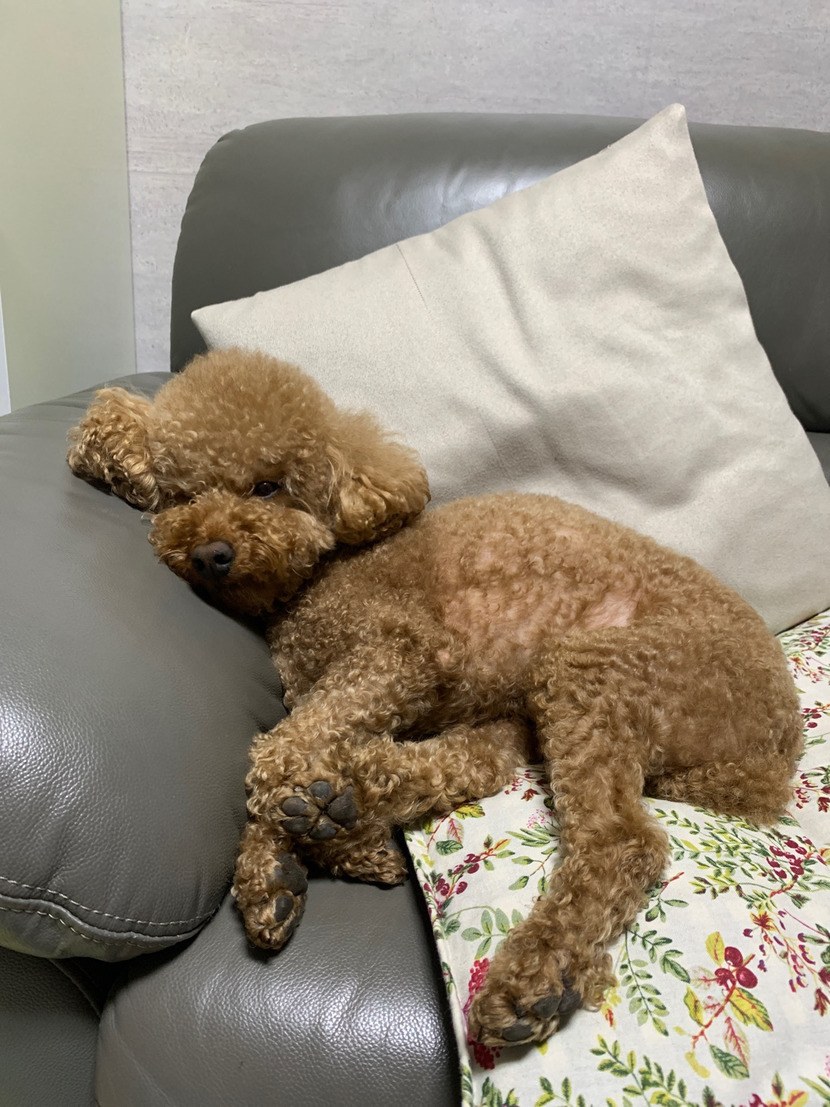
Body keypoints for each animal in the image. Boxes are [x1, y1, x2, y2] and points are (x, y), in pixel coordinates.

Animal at [67, 347, 802, 1046]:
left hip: (594, 668)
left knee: (621, 839)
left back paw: (534, 977)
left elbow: (281, 750)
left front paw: (292, 816)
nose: (210, 554)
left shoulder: (403, 652)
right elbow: (308, 748)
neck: (317, 576)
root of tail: (778, 747)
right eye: (181, 494)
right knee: (459, 766)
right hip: (526, 713)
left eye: (268, 486)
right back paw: (340, 811)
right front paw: (292, 853)